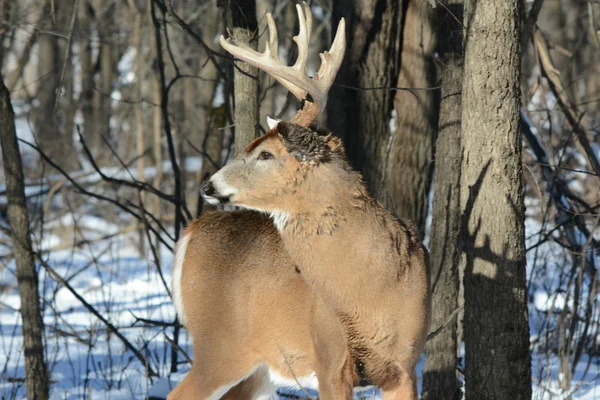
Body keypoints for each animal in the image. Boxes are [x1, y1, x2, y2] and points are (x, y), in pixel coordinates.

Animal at [168, 2, 432, 396]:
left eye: (265, 153)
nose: (208, 185)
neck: (372, 290)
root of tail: (192, 230)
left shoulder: (406, 364)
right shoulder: (328, 358)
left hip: (254, 368)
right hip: (219, 344)